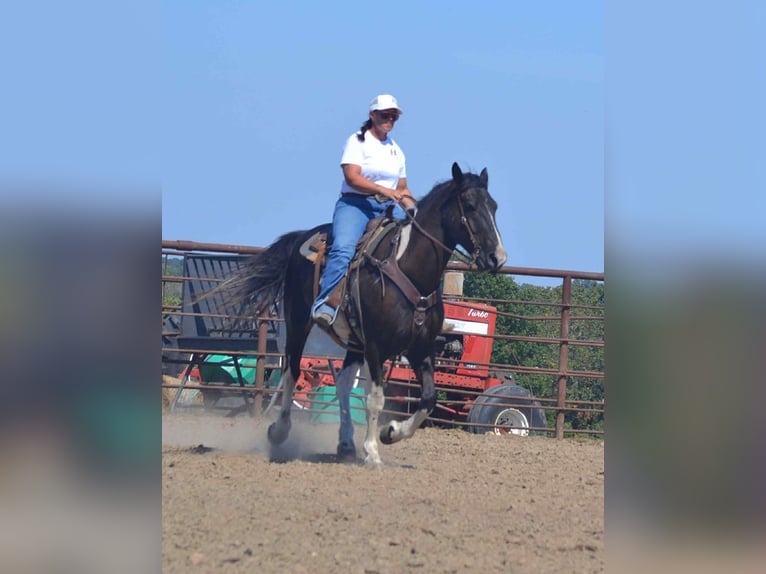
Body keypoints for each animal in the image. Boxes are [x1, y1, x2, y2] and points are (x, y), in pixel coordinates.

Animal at [227, 162, 507, 465]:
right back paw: (279, 432)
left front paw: (391, 432)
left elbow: (428, 399)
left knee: (342, 384)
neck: (410, 271)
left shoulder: (420, 348)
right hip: (298, 321)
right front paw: (372, 451)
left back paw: (346, 443)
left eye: (494, 206)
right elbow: (375, 398)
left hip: (352, 341)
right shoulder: (375, 345)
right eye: (470, 206)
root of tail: (303, 236)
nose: (498, 257)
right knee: (292, 371)